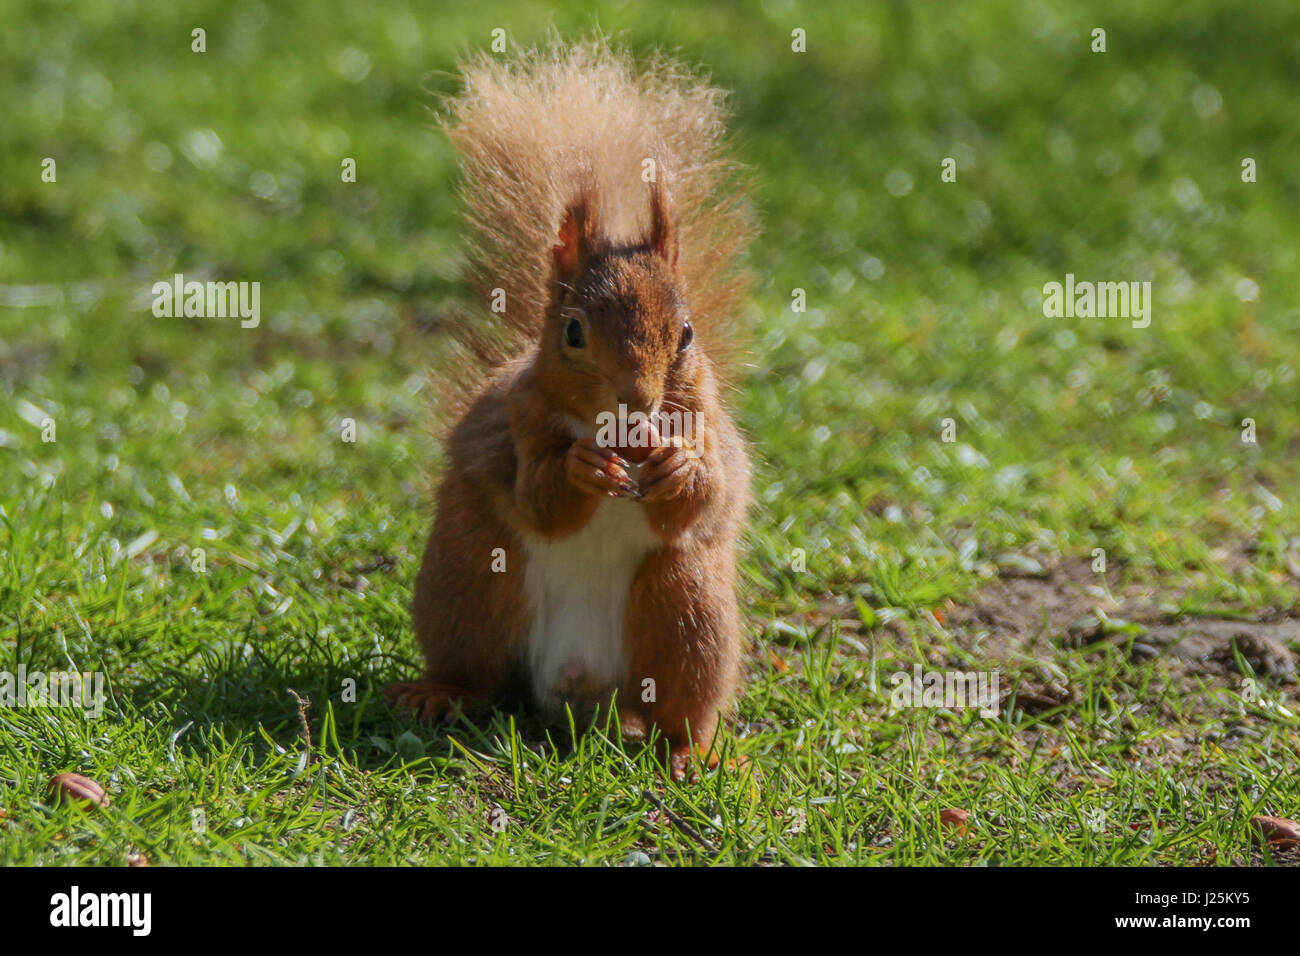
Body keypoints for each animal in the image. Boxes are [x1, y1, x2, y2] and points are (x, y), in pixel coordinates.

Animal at [387, 41, 754, 780]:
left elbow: (706, 494)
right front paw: (582, 468)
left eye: (688, 333)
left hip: (686, 608)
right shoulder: (520, 419)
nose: (639, 400)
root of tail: (581, 689)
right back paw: (438, 692)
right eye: (574, 333)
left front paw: (677, 468)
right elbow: (540, 499)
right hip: (470, 581)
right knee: (478, 671)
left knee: (681, 704)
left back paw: (691, 751)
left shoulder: (707, 423)